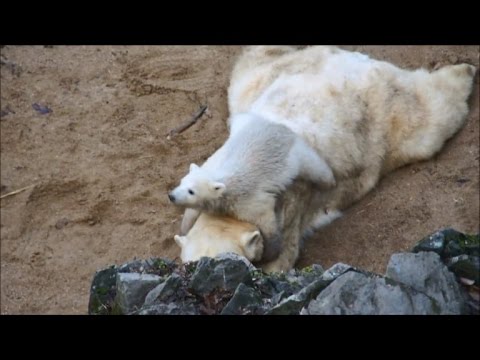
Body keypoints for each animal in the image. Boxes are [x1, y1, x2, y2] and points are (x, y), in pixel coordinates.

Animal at [175, 44, 476, 270]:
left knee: (432, 115)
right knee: (253, 64)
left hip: (390, 114)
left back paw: (465, 70)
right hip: (262, 81)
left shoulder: (287, 216)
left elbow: (280, 259)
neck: (231, 215)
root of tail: (351, 59)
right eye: (188, 265)